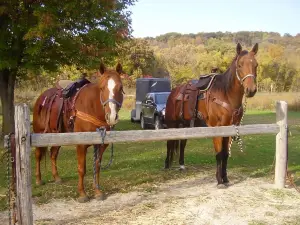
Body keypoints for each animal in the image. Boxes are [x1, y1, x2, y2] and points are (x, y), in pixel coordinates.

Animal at [33, 62, 124, 201]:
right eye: (101, 88)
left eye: (120, 87)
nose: (112, 116)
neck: (91, 108)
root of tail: (41, 97)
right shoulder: (81, 144)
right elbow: (82, 168)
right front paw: (82, 194)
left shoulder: (101, 144)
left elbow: (97, 167)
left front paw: (97, 192)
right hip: (39, 133)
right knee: (38, 155)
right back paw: (38, 180)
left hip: (59, 135)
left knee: (53, 154)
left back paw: (57, 178)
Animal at [164, 43, 258, 187]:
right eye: (240, 65)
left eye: (256, 65)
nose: (251, 90)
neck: (226, 94)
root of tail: (173, 92)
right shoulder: (217, 128)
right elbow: (219, 154)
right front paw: (219, 181)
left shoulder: (230, 129)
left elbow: (225, 154)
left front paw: (225, 178)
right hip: (171, 124)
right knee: (169, 143)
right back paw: (167, 165)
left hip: (185, 124)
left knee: (182, 144)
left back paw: (181, 165)